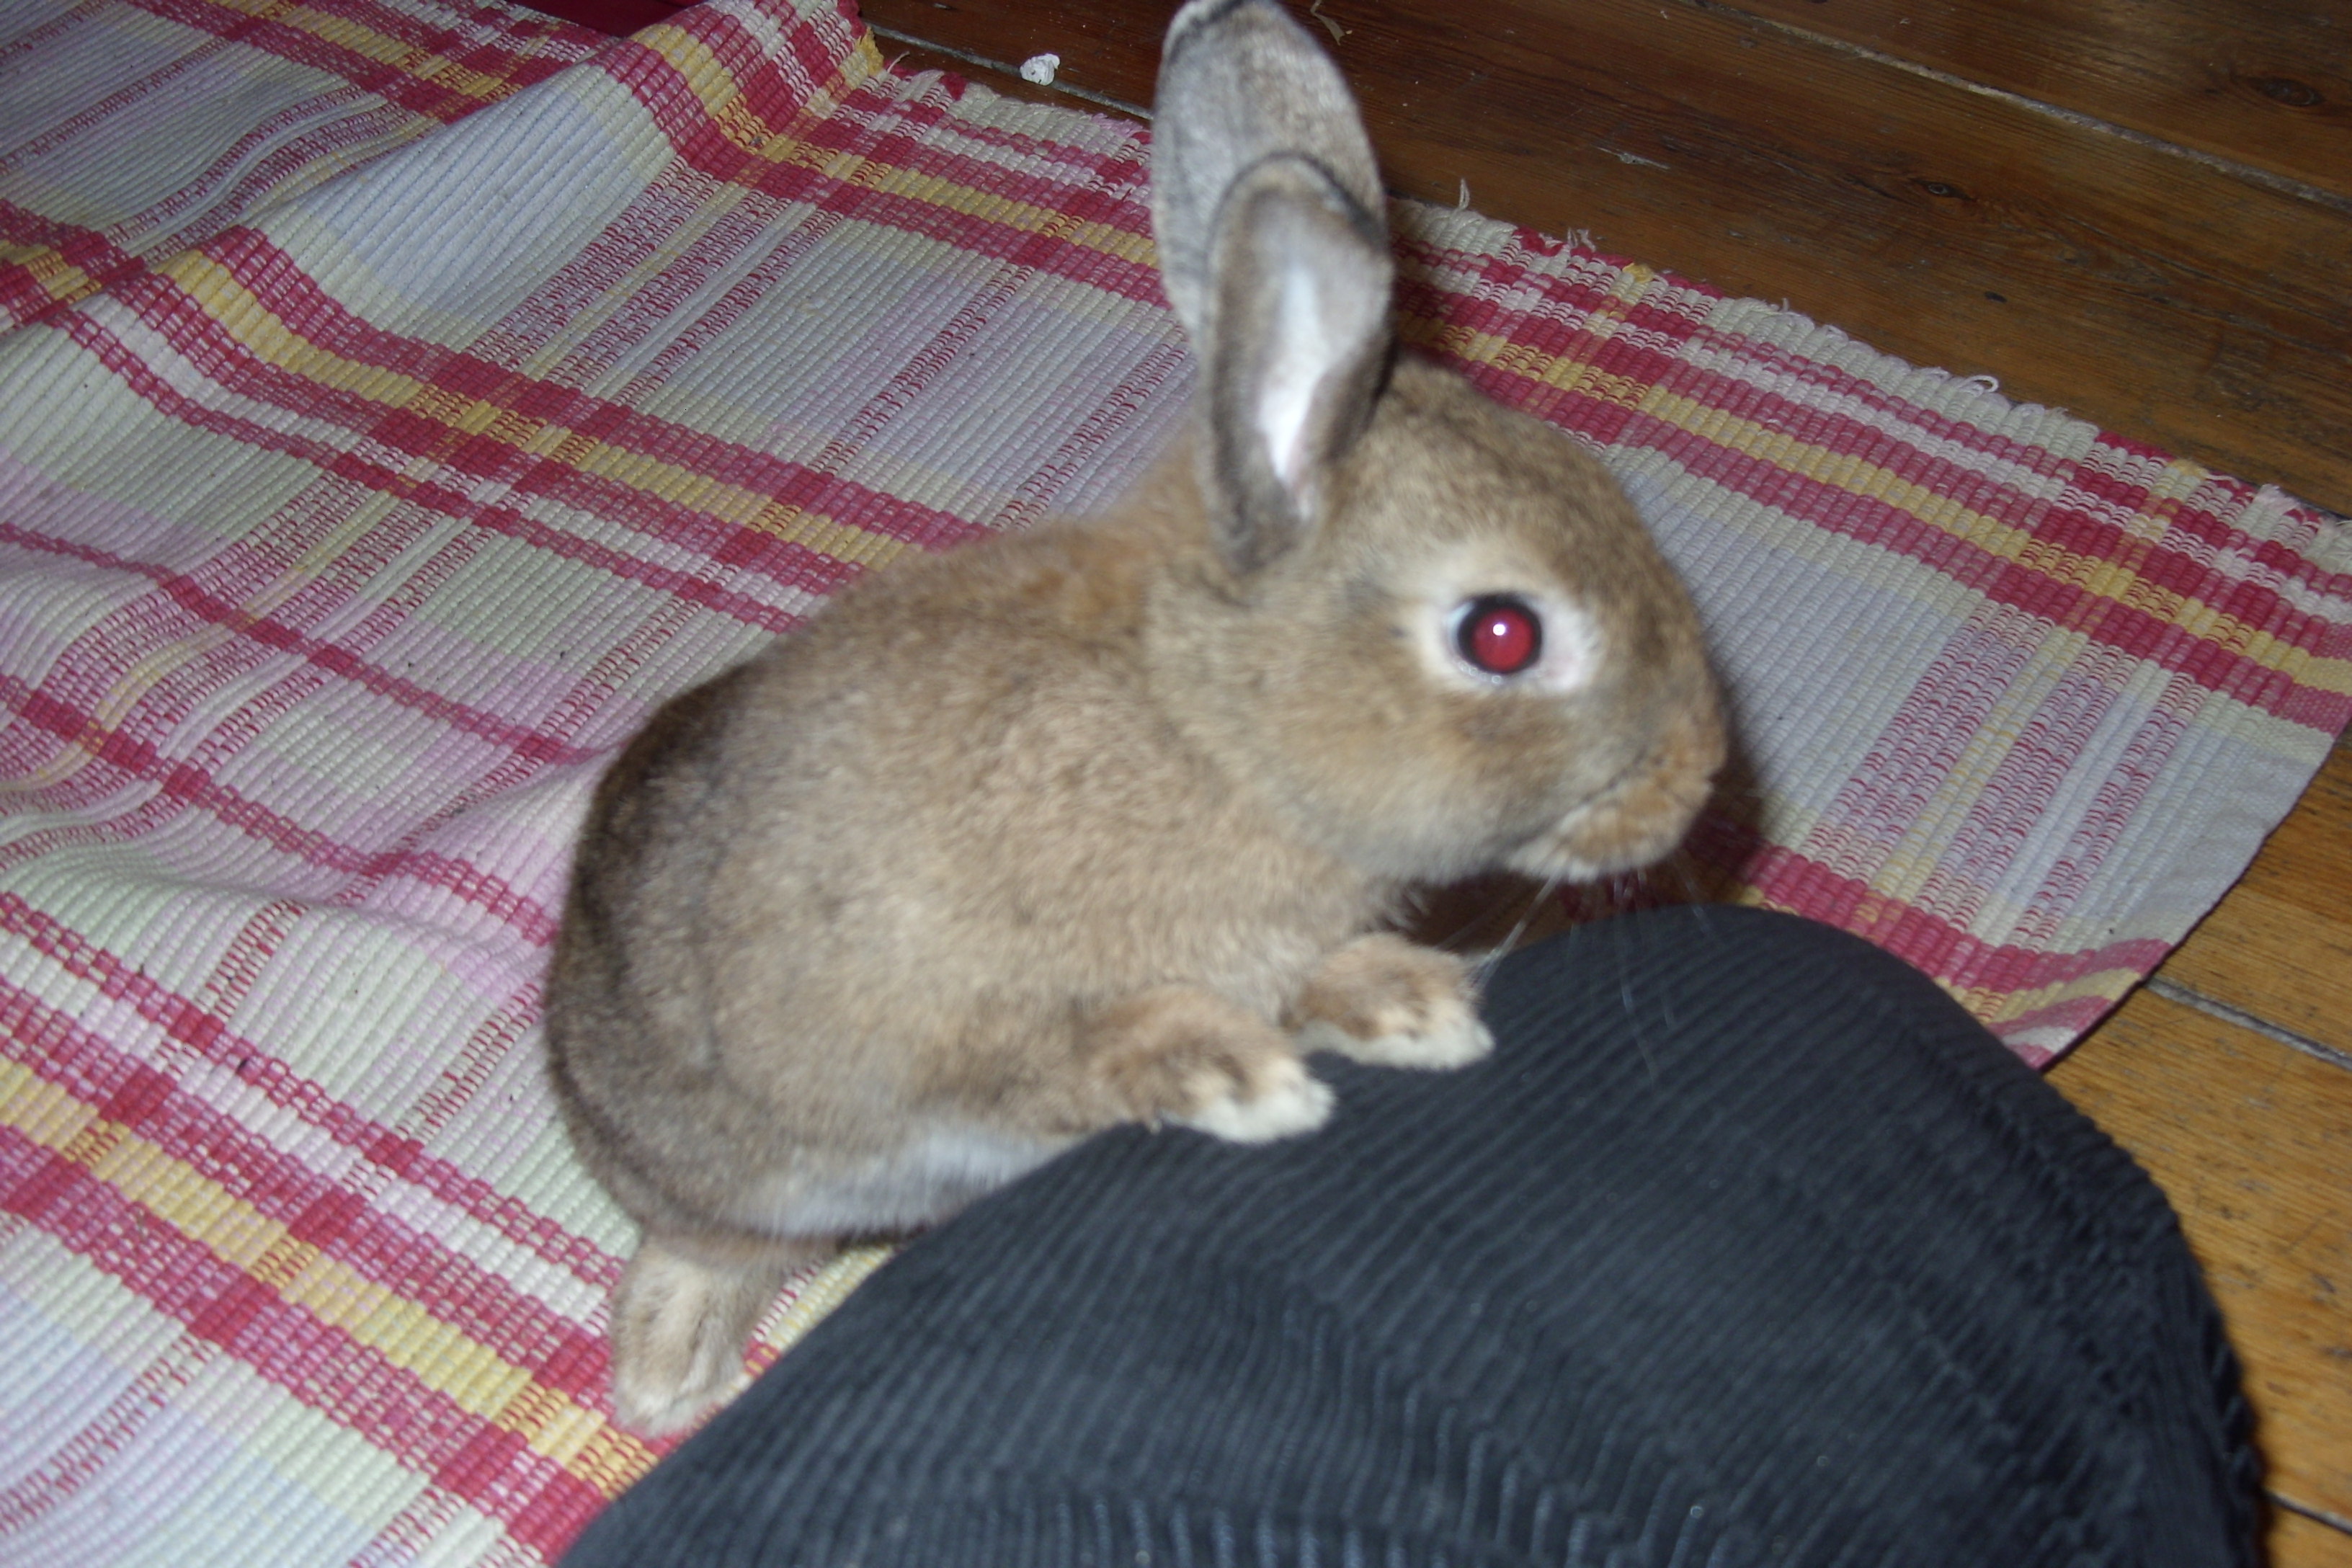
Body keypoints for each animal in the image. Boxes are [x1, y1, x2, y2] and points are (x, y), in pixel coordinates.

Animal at [543, 0, 1726, 1437]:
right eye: (1502, 635)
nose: (1697, 777)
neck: (1214, 731)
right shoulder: (930, 1030)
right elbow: (1064, 1053)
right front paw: (1234, 1078)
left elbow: (1310, 978)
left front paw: (1407, 1007)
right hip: (726, 1163)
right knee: (708, 1239)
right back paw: (671, 1372)